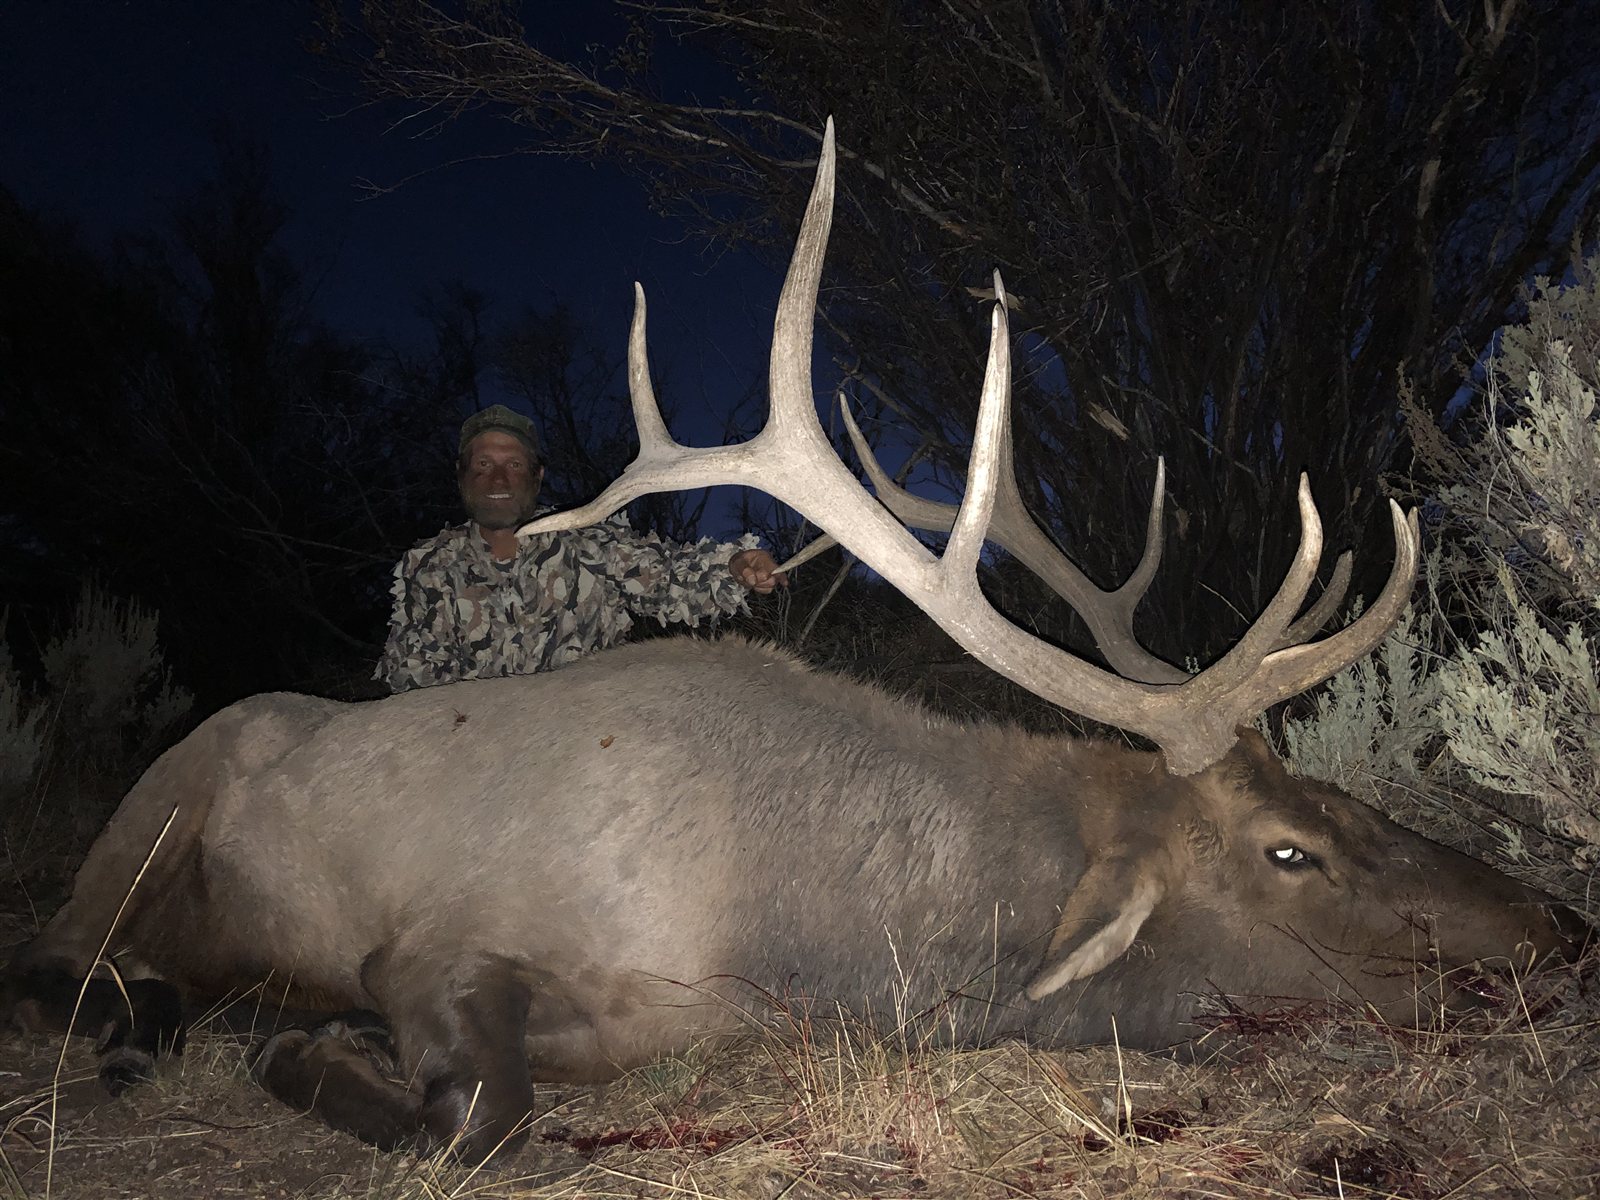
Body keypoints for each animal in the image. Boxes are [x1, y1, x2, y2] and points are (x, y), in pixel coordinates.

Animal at [1, 120, 1583, 1166]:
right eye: (1287, 852)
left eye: (1337, 802)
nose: (1556, 931)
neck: (801, 931)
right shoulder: (433, 939)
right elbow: (481, 1114)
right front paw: (303, 1044)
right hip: (145, 826)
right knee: (64, 959)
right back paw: (154, 1019)